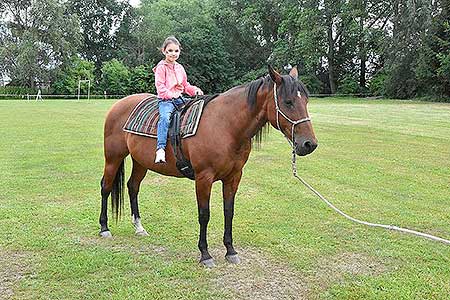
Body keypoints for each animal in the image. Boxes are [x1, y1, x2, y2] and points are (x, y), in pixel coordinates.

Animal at [99, 65, 316, 268]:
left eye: (305, 101)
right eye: (288, 102)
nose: (309, 144)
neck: (225, 126)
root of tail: (119, 105)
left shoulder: (234, 177)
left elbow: (229, 211)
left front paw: (230, 251)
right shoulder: (204, 178)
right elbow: (204, 214)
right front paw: (205, 255)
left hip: (140, 162)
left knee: (133, 186)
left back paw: (139, 227)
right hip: (113, 158)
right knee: (106, 187)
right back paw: (104, 228)